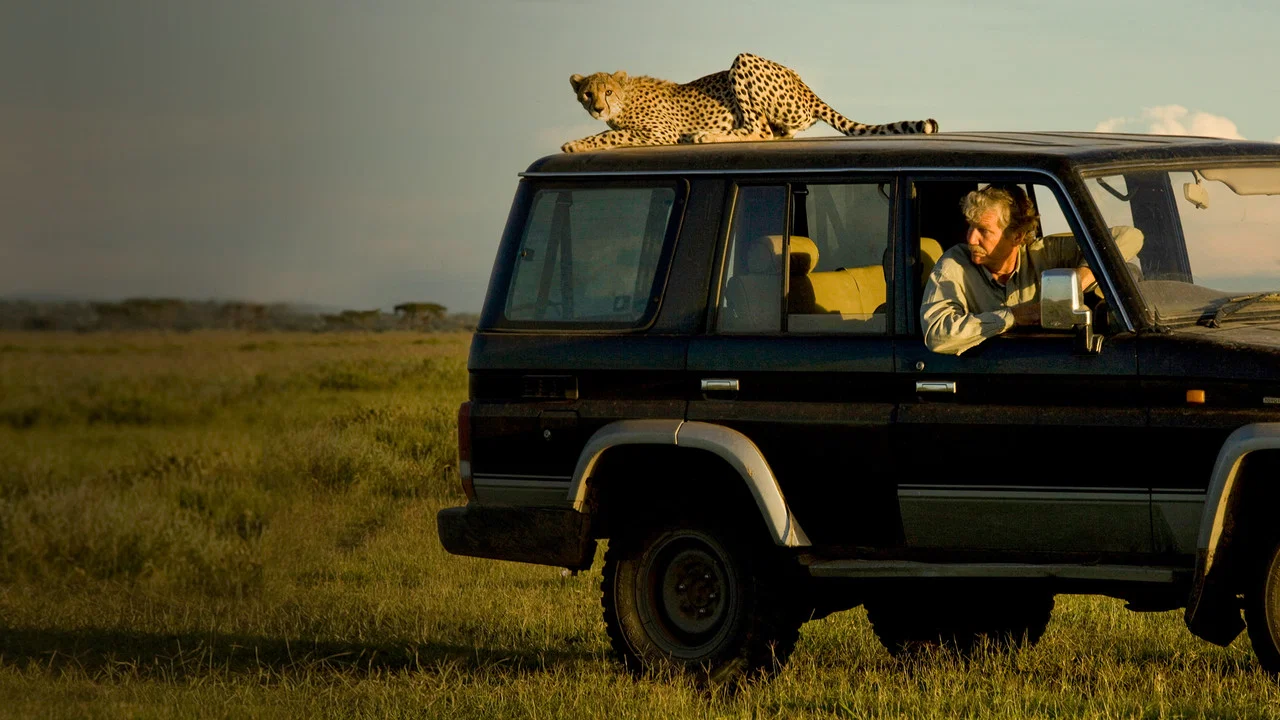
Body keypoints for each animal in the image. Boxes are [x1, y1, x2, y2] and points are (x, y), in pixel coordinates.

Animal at [561, 53, 938, 153]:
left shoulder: (658, 133)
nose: (597, 108)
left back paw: (705, 136)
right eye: (588, 94)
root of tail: (805, 85)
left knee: (759, 131)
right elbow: (608, 132)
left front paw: (575, 144)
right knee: (777, 133)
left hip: (743, 61)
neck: (625, 100)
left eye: (608, 92)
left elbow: (611, 135)